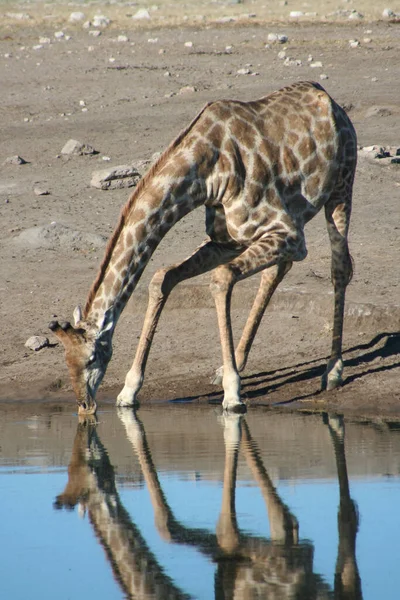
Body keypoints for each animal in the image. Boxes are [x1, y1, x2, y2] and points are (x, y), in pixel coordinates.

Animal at [48, 81, 358, 412]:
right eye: (65, 358)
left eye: (93, 357)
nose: (85, 405)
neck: (205, 173)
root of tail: (329, 99)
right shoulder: (228, 241)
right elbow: (162, 277)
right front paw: (129, 391)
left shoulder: (289, 234)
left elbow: (221, 278)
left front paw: (233, 394)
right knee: (276, 271)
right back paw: (233, 363)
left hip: (341, 185)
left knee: (339, 267)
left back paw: (333, 371)